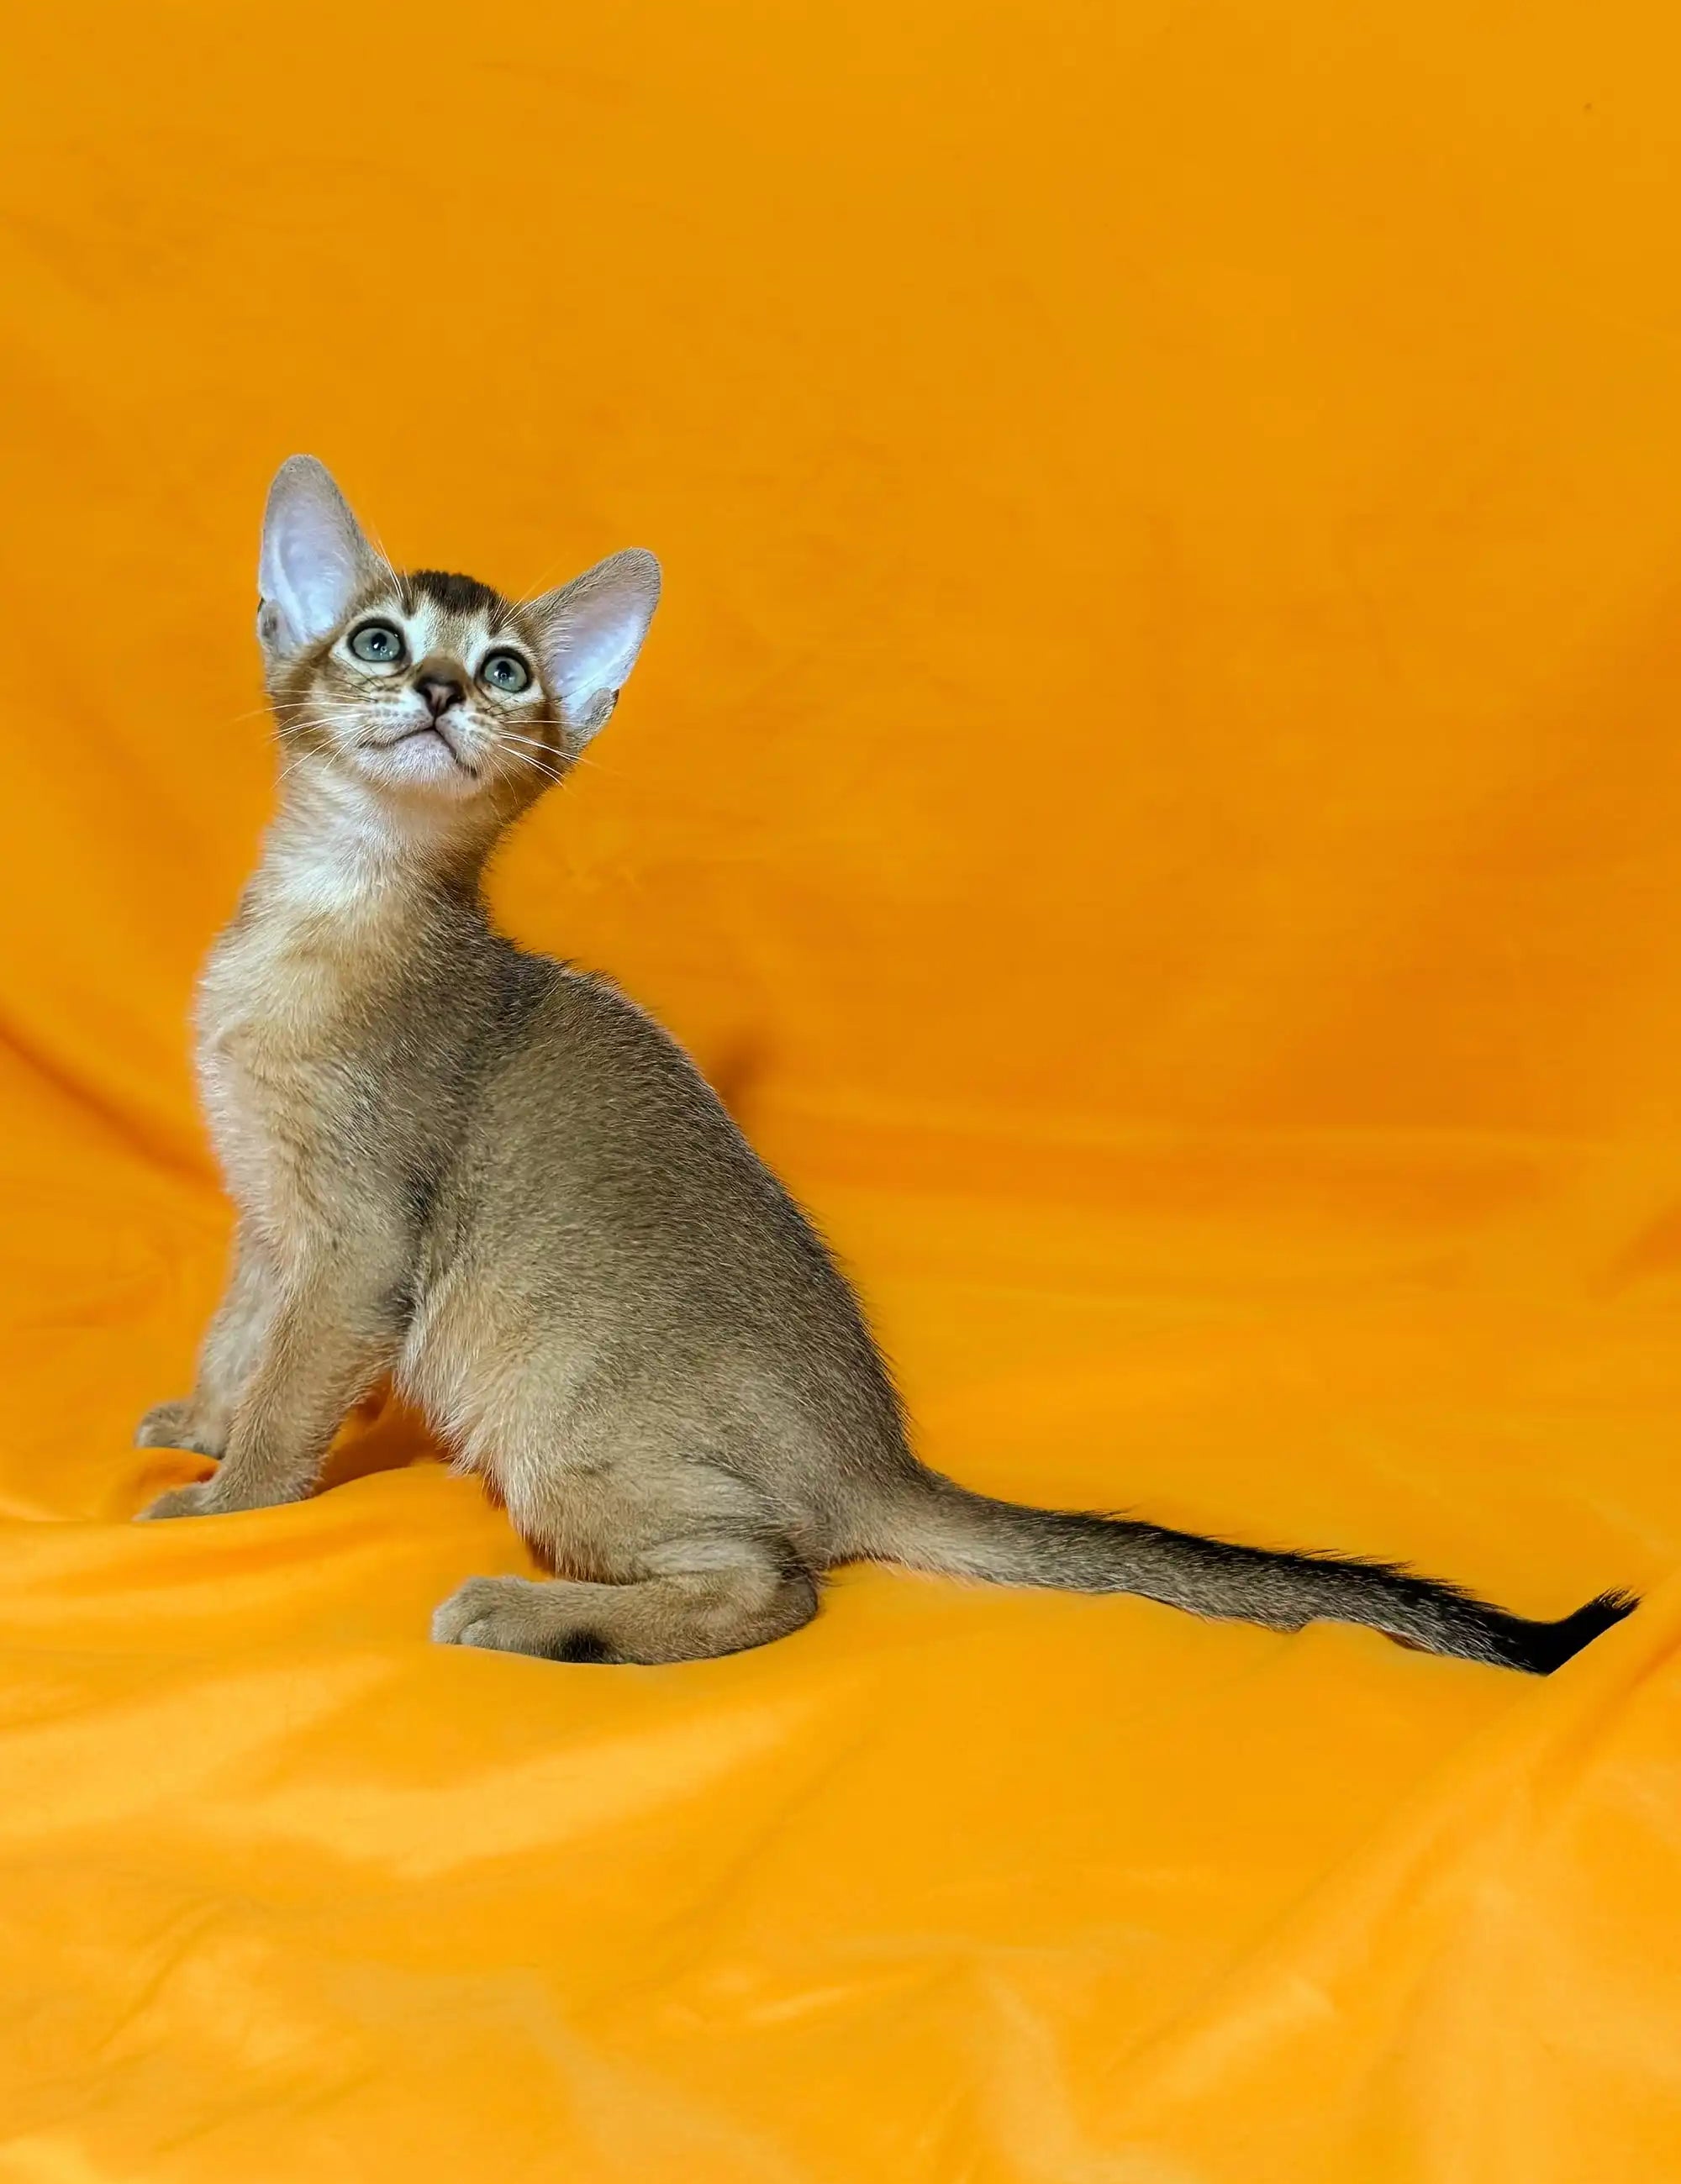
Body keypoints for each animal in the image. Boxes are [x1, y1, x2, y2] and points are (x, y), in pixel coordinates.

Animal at [137, 456, 1632, 1668]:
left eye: (506, 669)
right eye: (376, 639)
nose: (441, 688)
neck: (331, 913)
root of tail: (874, 1453)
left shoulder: (358, 1243)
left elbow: (294, 1393)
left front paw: (222, 1505)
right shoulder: (271, 1210)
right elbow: (241, 1335)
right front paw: (200, 1423)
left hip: (561, 1420)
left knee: (774, 1585)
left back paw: (528, 1611)